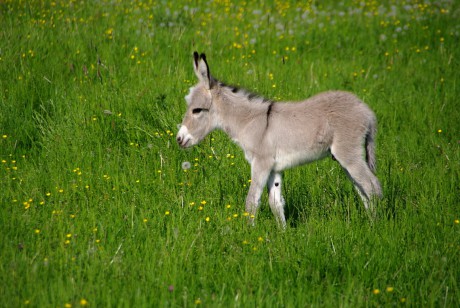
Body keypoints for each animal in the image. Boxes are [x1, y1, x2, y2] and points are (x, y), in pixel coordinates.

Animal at [178, 51, 382, 227]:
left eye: (197, 110)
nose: (179, 139)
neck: (251, 122)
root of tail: (367, 111)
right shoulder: (274, 169)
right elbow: (275, 203)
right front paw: (283, 234)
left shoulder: (261, 163)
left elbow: (251, 201)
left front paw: (248, 235)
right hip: (344, 158)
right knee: (363, 189)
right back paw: (369, 221)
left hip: (348, 154)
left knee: (372, 186)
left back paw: (375, 226)